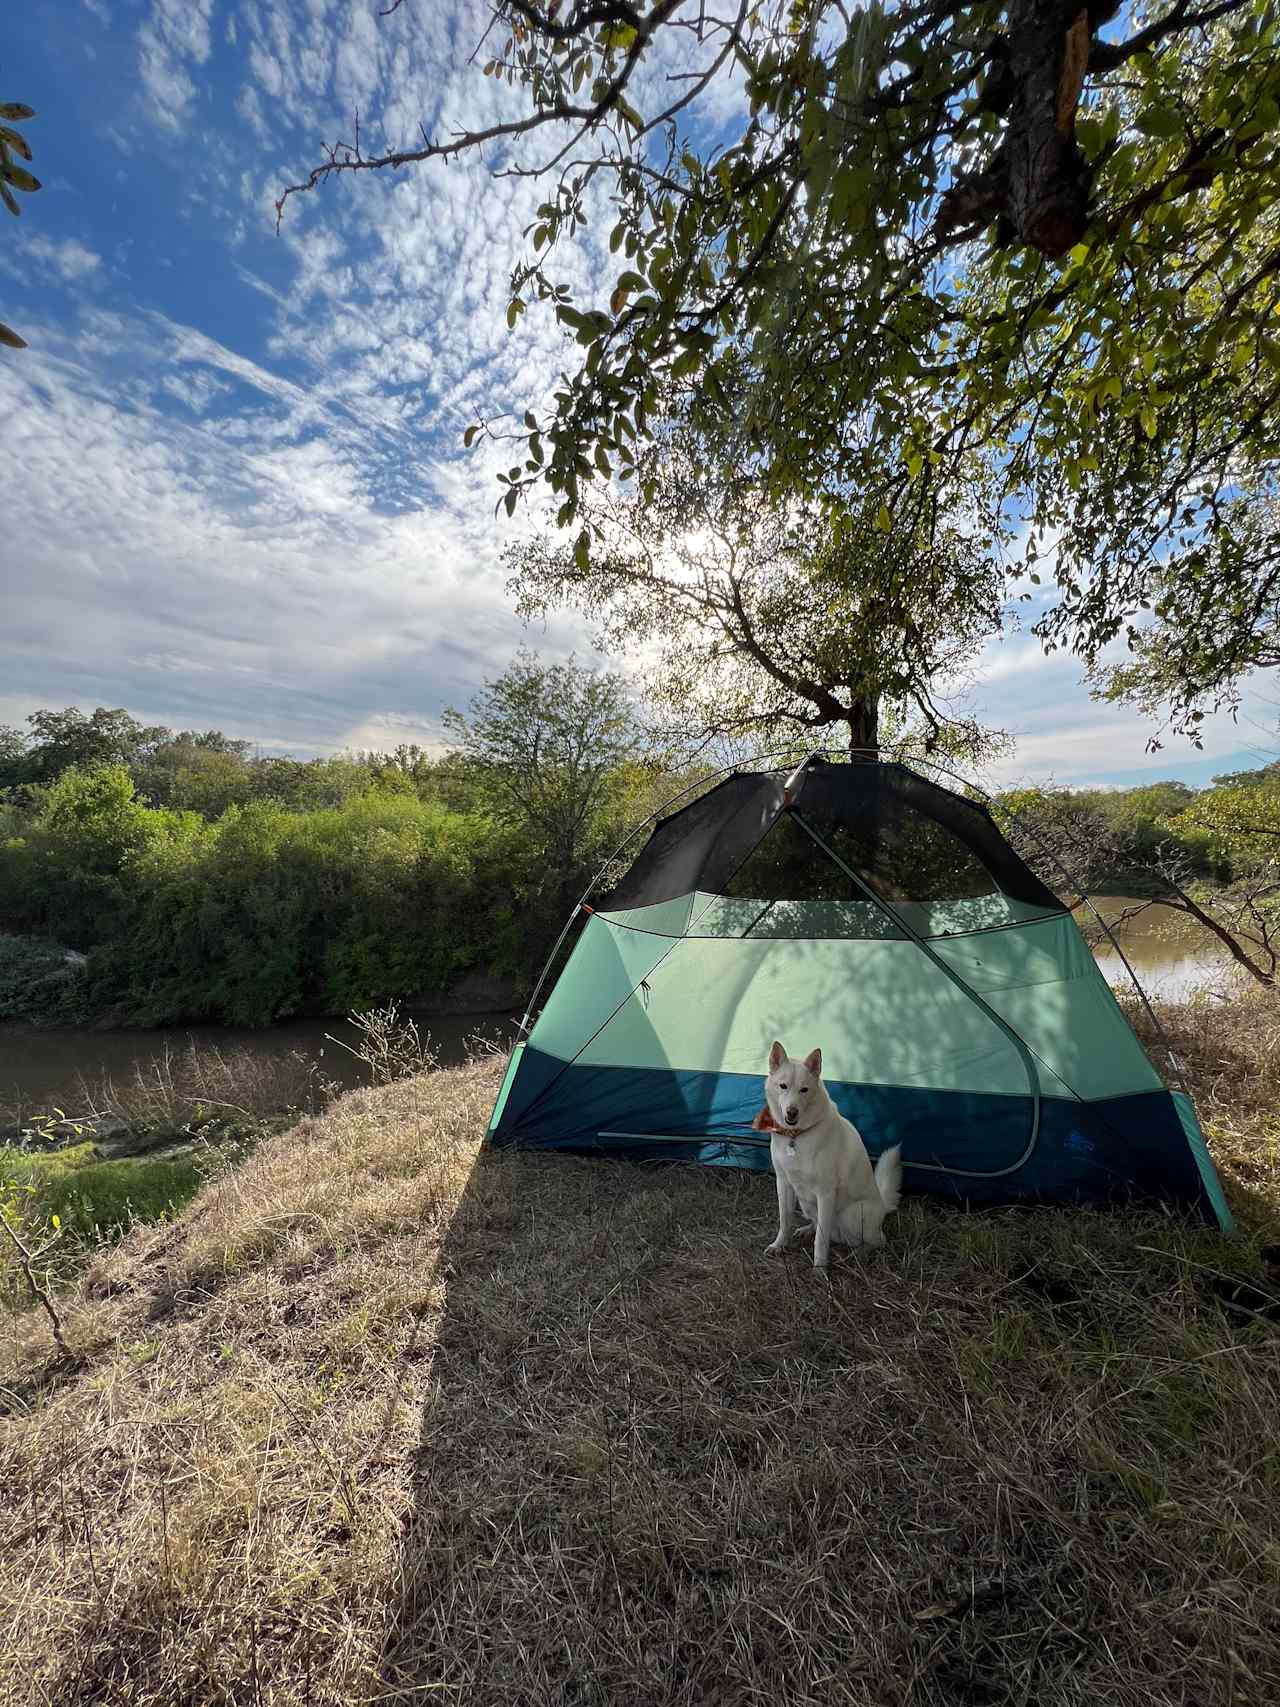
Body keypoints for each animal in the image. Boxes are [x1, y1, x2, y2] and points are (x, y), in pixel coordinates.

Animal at [761, 1037, 901, 1270]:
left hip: (851, 1214)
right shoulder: (783, 1183)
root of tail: (882, 1204)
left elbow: (821, 1239)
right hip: (807, 1204)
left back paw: (859, 1253)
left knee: (878, 1240)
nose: (792, 1113)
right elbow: (785, 1220)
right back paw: (806, 1229)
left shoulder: (825, 1193)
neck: (796, 1136)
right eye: (783, 1086)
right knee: (818, 1224)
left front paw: (819, 1268)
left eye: (804, 1090)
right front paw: (779, 1245)